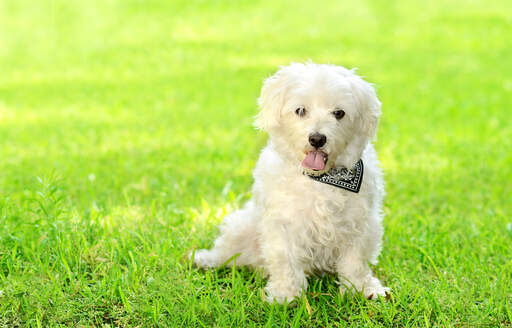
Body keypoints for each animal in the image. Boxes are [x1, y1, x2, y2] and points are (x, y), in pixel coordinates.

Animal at [192, 61, 388, 302]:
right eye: (300, 110)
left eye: (339, 113)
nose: (317, 139)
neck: (320, 179)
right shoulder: (283, 224)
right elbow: (285, 261)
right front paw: (286, 295)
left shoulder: (360, 224)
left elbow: (356, 263)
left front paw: (361, 289)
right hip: (241, 226)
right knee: (226, 252)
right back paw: (205, 259)